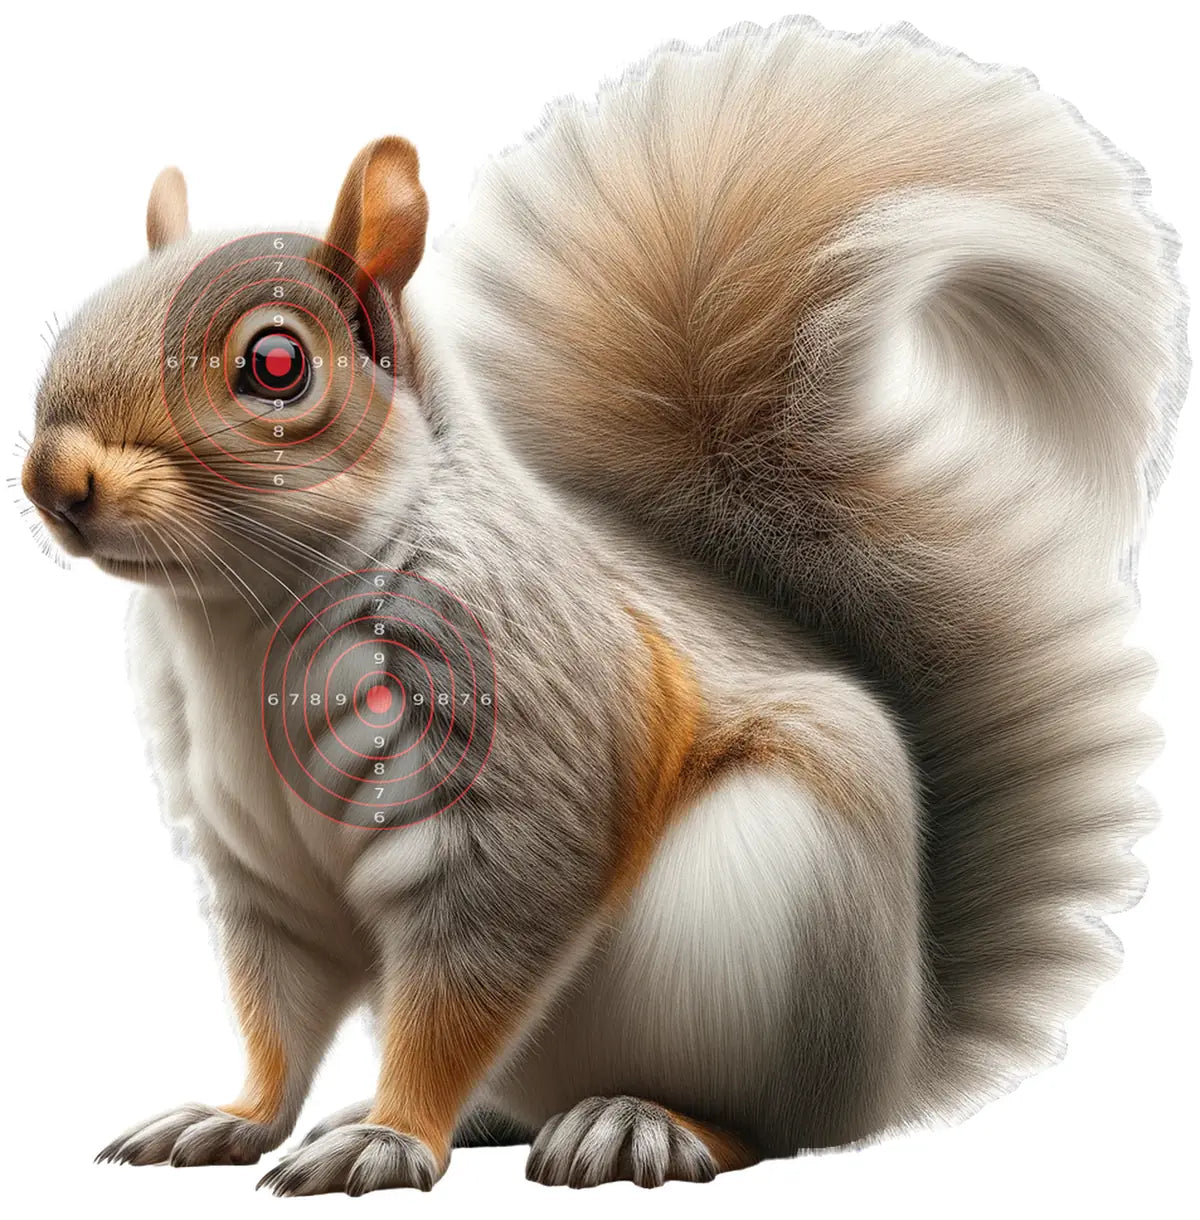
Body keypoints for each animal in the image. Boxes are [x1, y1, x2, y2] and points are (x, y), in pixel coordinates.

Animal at [19, 19, 1184, 1197]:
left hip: (768, 917)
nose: (54, 480)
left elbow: (467, 977)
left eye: (275, 362)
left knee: (772, 1123)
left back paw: (643, 1122)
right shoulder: (259, 866)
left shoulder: (523, 736)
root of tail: (896, 1051)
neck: (242, 622)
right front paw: (233, 1115)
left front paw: (391, 1136)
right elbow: (279, 1010)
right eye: (76, 324)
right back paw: (491, 1115)